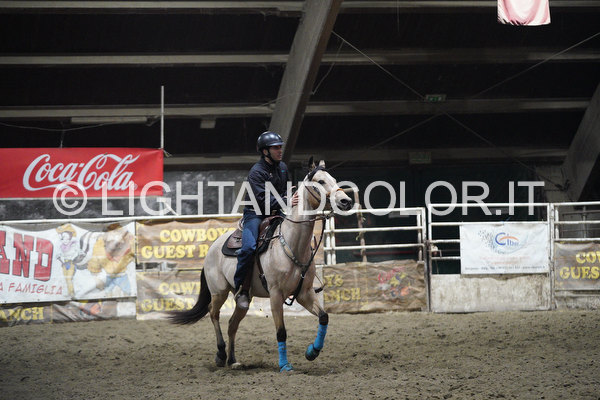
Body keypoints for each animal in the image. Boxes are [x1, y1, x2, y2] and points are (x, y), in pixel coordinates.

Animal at [169, 159, 353, 372]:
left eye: (334, 179)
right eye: (321, 181)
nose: (346, 201)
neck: (291, 244)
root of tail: (211, 250)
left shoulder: (304, 293)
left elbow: (324, 317)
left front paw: (312, 352)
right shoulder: (275, 295)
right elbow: (281, 332)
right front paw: (284, 365)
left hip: (244, 298)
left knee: (232, 324)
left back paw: (233, 360)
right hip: (219, 292)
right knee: (213, 313)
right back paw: (221, 354)